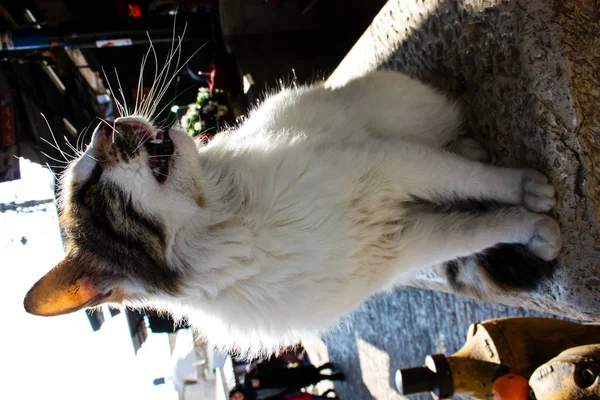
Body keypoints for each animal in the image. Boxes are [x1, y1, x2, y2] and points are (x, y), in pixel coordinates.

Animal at [23, 70, 560, 354]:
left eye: (93, 163)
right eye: (92, 185)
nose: (106, 122)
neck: (235, 226)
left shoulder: (390, 165)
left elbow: (477, 183)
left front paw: (528, 190)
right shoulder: (404, 240)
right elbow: (484, 226)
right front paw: (534, 223)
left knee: (453, 151)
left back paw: (472, 148)